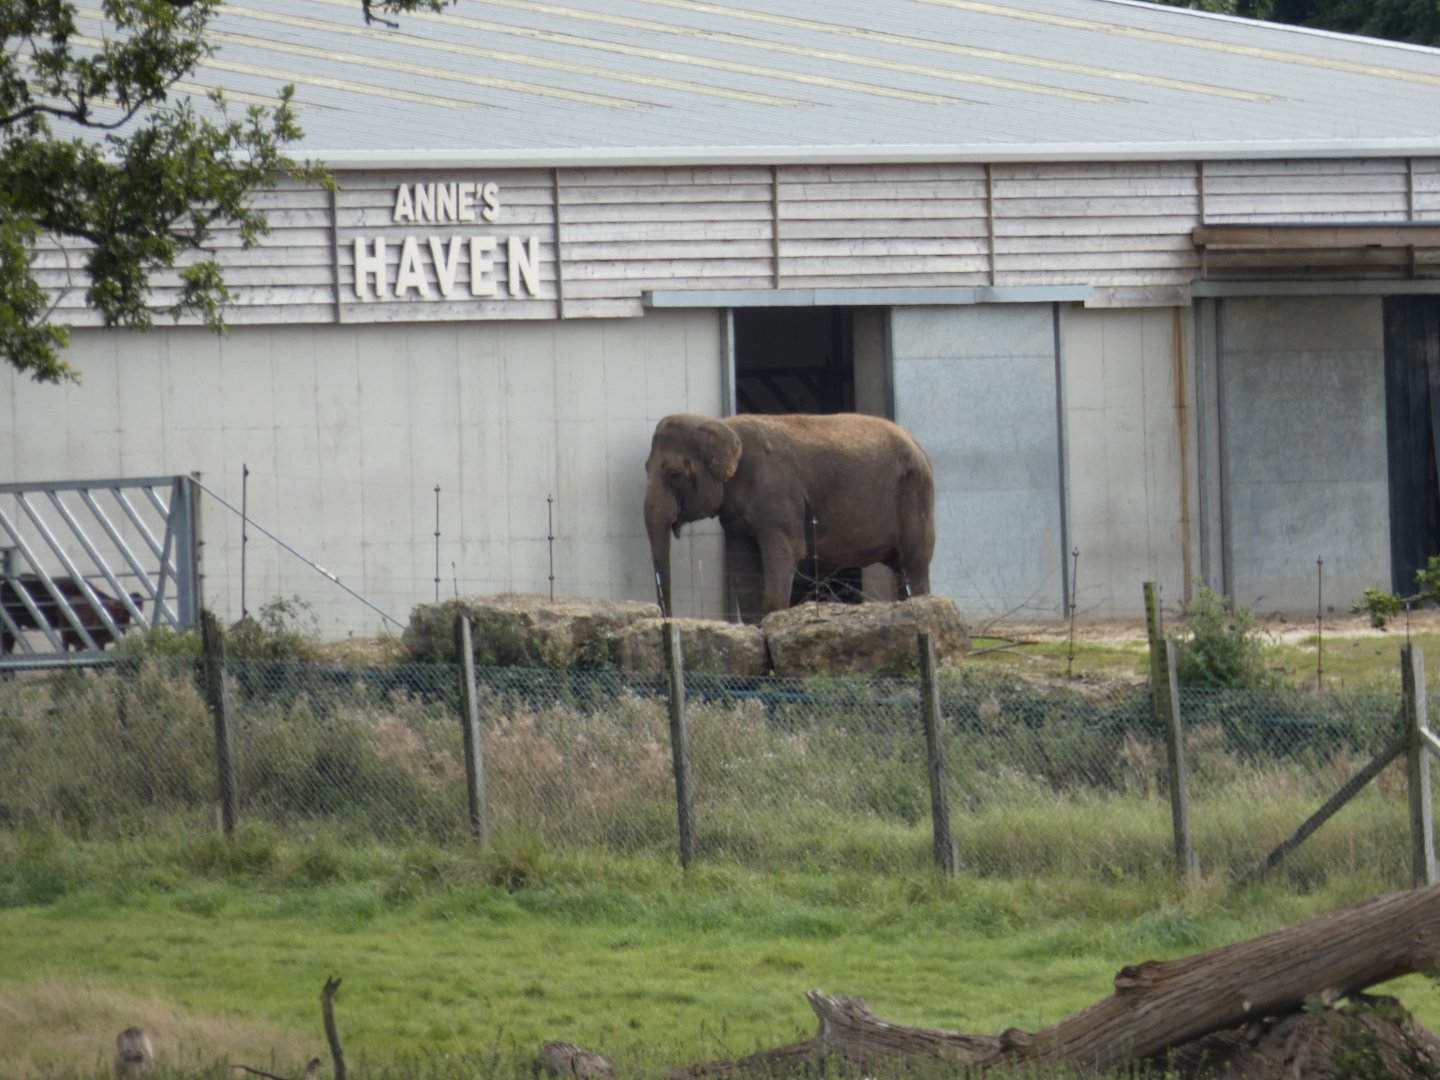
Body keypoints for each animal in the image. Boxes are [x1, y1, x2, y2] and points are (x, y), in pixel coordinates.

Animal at [643, 412, 935, 621]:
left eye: (673, 474)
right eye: (646, 468)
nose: (668, 618)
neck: (720, 425)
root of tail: (918, 445)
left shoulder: (777, 494)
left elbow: (787, 551)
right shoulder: (735, 516)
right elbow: (742, 562)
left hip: (915, 494)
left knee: (914, 563)